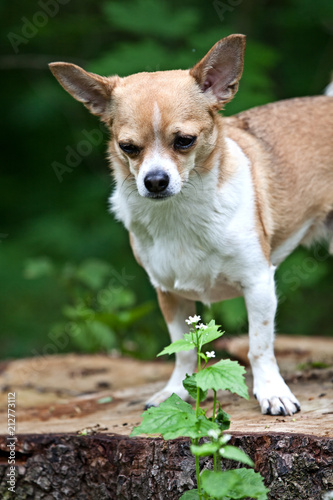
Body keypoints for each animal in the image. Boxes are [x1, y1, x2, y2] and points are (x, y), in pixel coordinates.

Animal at [49, 35, 332, 416]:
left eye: (184, 140)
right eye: (128, 147)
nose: (155, 181)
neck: (180, 213)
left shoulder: (258, 284)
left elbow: (259, 346)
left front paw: (272, 392)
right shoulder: (170, 294)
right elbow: (181, 350)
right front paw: (174, 392)